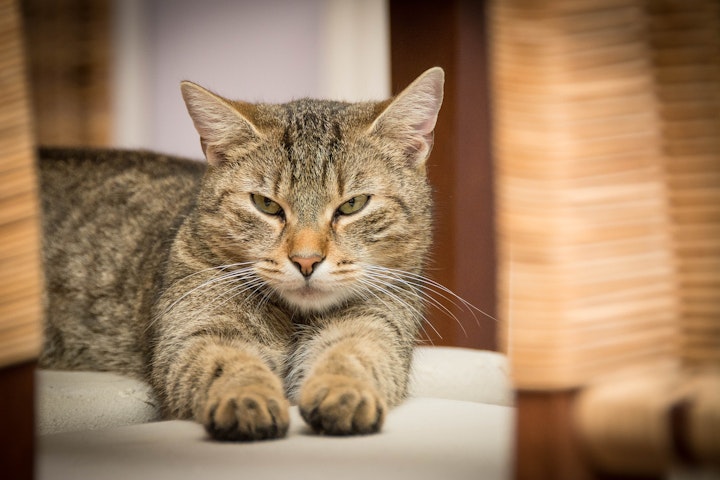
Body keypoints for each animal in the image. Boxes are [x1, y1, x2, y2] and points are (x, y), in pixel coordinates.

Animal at [39, 66, 444, 438]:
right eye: (266, 204)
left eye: (352, 205)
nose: (306, 260)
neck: (294, 318)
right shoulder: (197, 330)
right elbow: (228, 362)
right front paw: (246, 398)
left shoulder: (378, 324)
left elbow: (353, 354)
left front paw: (344, 391)